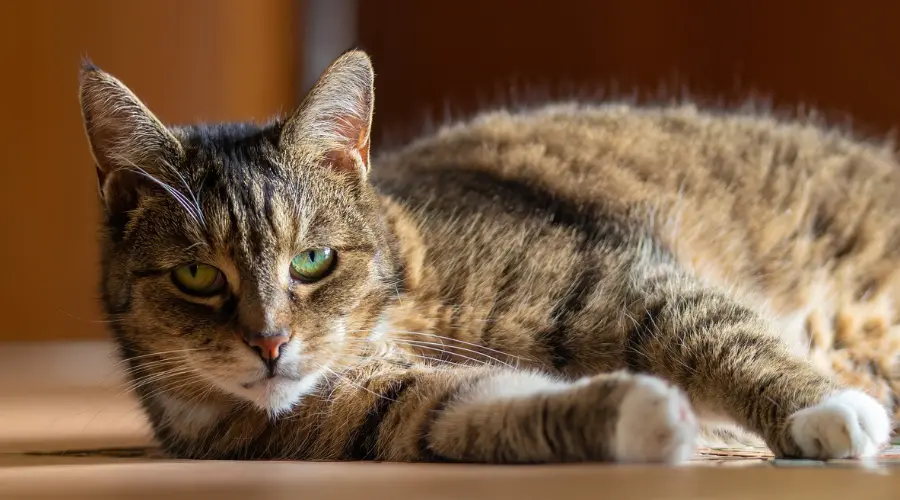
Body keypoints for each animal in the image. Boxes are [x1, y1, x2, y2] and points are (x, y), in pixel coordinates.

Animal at [81, 48, 896, 462]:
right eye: (196, 275)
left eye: (312, 261)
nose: (271, 343)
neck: (399, 304)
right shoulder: (390, 409)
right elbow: (488, 406)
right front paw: (645, 417)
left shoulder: (619, 281)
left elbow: (722, 337)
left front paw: (825, 408)